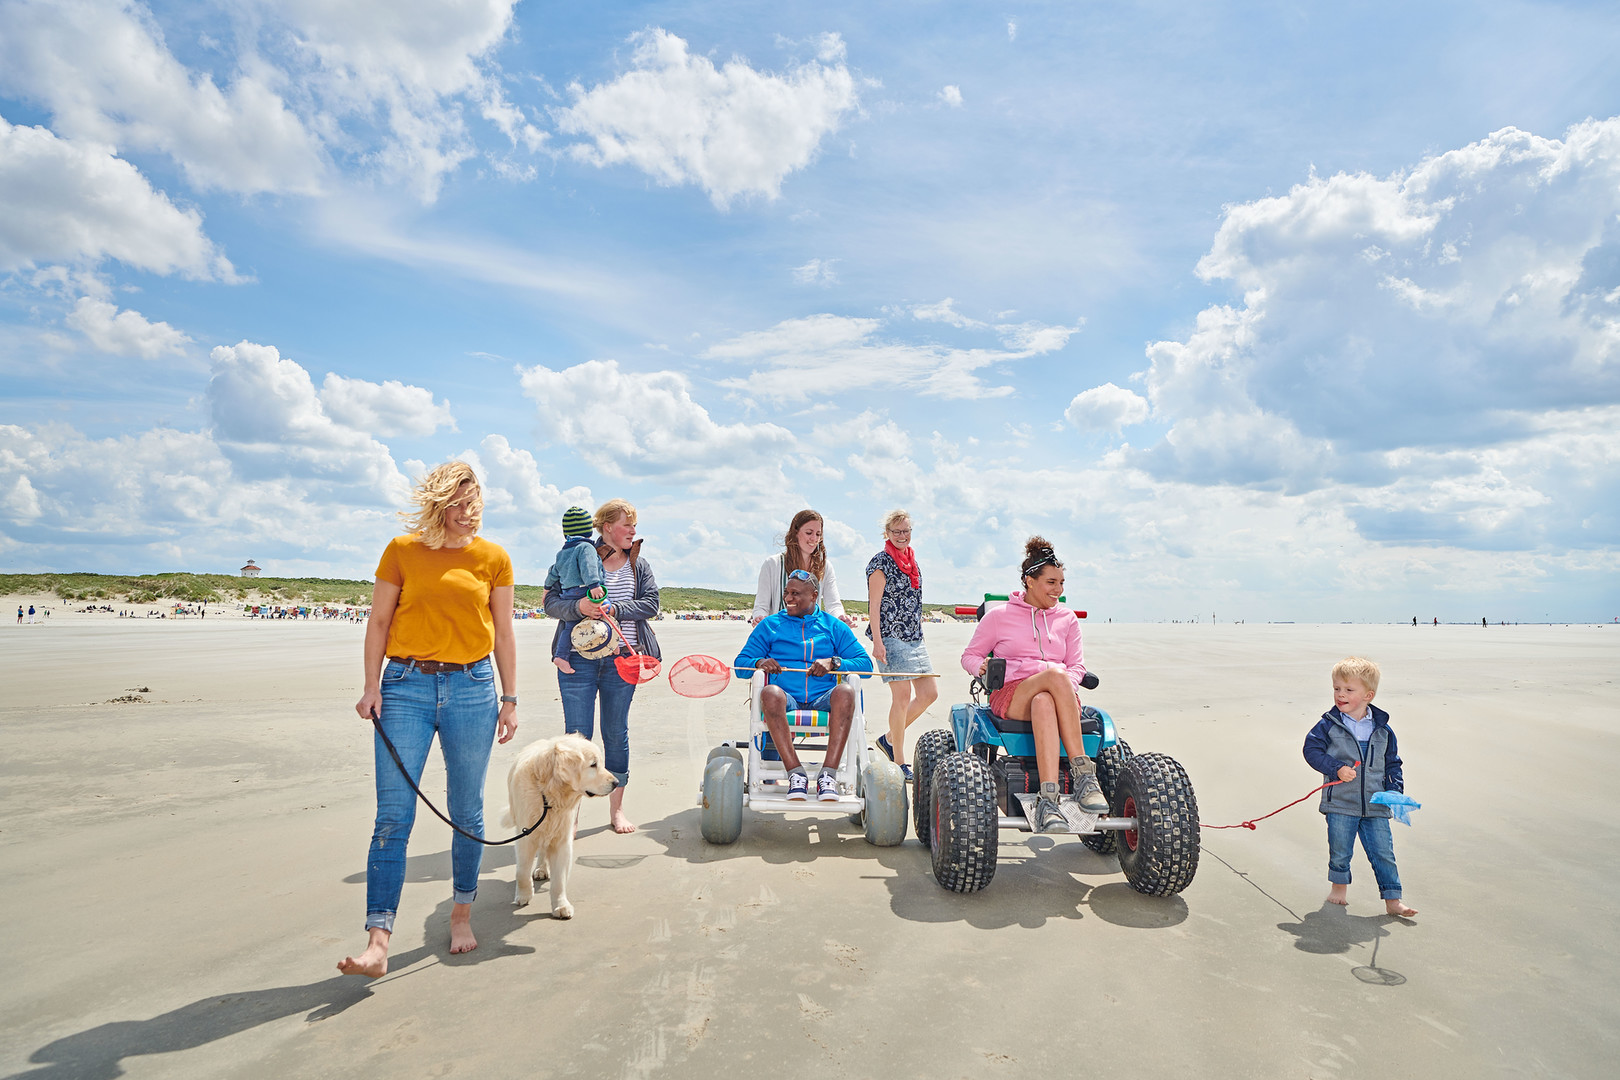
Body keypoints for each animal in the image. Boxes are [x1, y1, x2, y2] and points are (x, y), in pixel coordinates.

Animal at [502, 735, 615, 919]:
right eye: (593, 764)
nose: (617, 782)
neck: (549, 796)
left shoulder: (562, 840)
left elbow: (559, 881)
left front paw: (561, 906)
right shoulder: (525, 836)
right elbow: (521, 872)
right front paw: (524, 895)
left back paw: (542, 868)